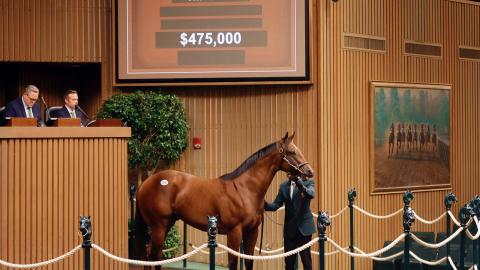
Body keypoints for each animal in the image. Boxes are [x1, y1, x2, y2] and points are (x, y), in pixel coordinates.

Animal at [135, 133, 316, 270]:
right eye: (291, 151)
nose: (309, 172)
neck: (245, 189)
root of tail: (146, 183)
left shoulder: (252, 232)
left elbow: (249, 261)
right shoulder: (234, 232)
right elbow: (233, 263)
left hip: (166, 224)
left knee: (149, 254)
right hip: (159, 225)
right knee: (156, 255)